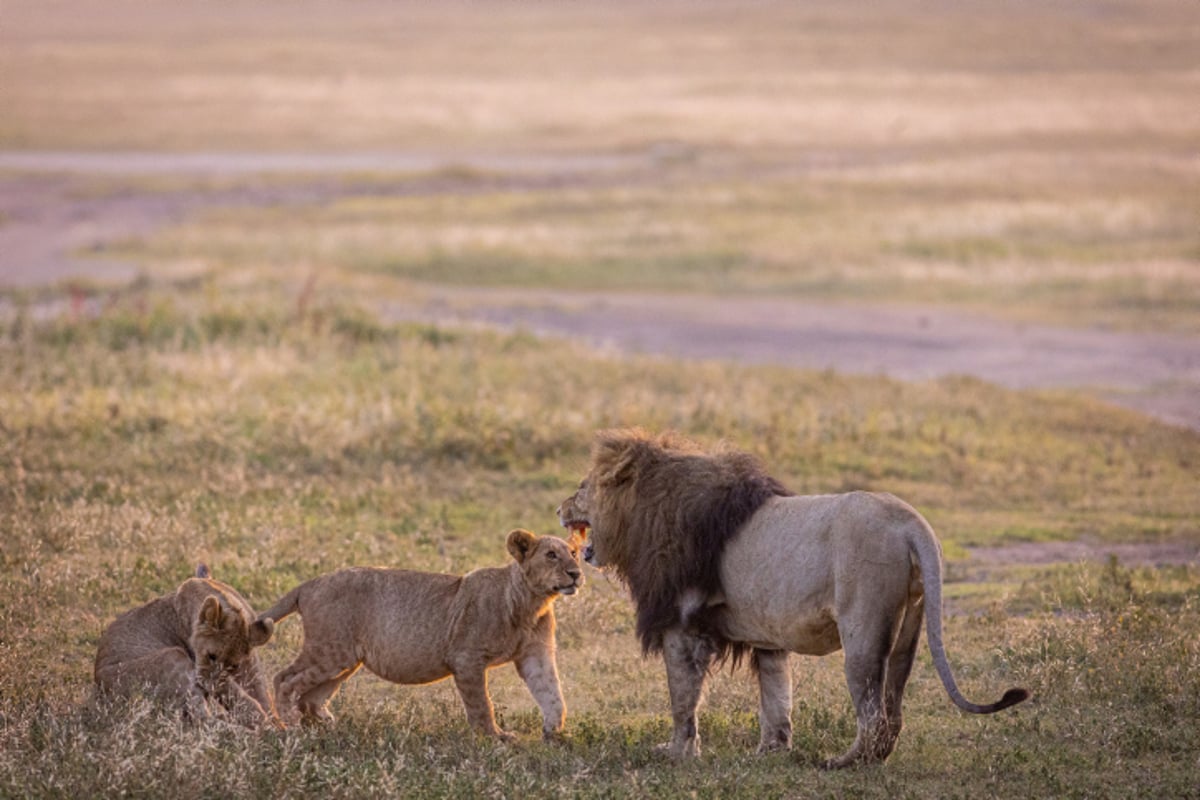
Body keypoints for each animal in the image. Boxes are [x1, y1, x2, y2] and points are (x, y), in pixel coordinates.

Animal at [93, 563, 276, 724]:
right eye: (211, 656)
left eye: (233, 666)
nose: (207, 686)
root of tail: (100, 693)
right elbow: (235, 693)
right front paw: (262, 722)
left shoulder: (250, 665)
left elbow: (262, 696)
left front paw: (276, 724)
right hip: (172, 657)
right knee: (203, 720)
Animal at [260, 527, 583, 743]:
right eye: (551, 555)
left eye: (574, 553)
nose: (576, 573)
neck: (533, 603)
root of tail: (310, 583)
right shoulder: (467, 658)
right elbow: (482, 703)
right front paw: (494, 736)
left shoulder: (536, 654)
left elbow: (552, 693)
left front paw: (555, 732)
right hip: (330, 651)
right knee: (284, 679)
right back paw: (289, 726)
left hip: (345, 659)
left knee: (311, 696)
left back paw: (325, 726)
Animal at [556, 431, 1027, 767]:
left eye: (581, 487)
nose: (559, 508)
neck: (642, 515)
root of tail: (911, 522)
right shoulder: (767, 636)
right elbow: (776, 696)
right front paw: (771, 751)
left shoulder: (681, 624)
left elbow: (682, 699)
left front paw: (677, 754)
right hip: (910, 622)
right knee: (892, 705)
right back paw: (869, 758)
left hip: (863, 627)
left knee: (872, 710)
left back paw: (842, 762)